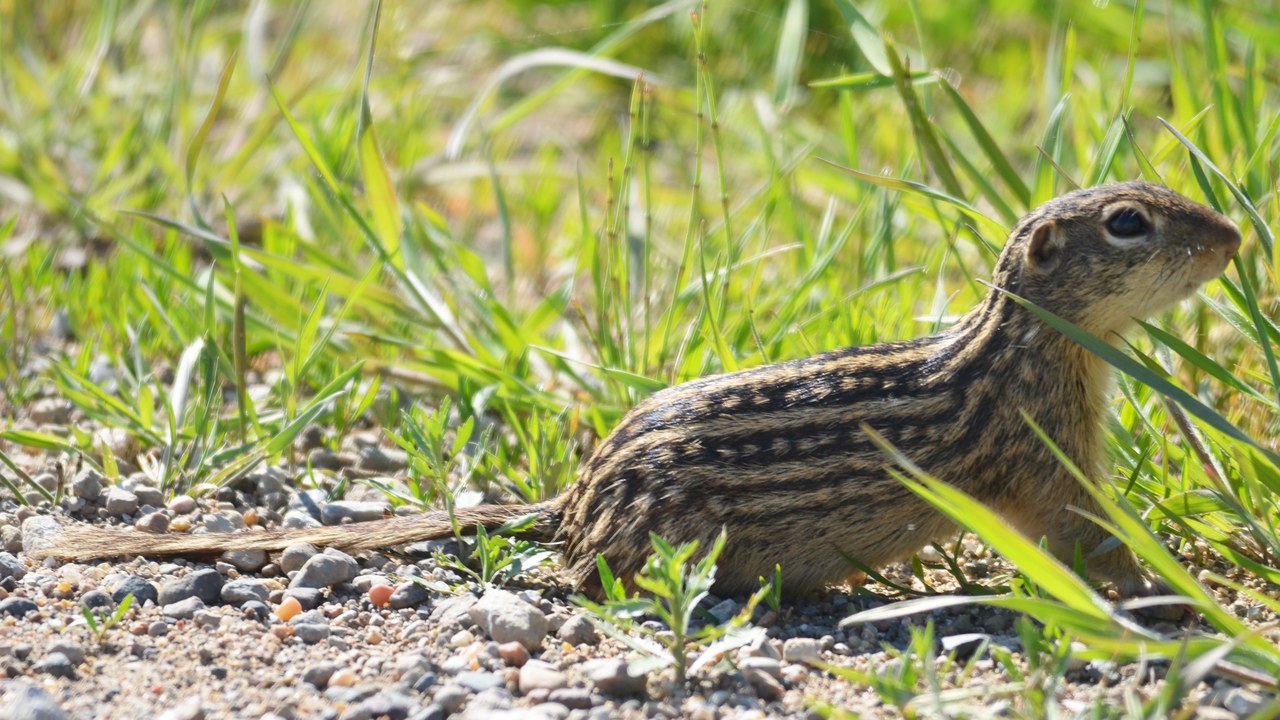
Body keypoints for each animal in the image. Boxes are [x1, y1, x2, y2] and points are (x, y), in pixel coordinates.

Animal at [36, 181, 1241, 599]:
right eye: (1128, 223)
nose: (1231, 236)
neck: (1026, 346)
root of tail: (572, 498)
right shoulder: (1043, 464)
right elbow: (1091, 544)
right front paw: (1173, 599)